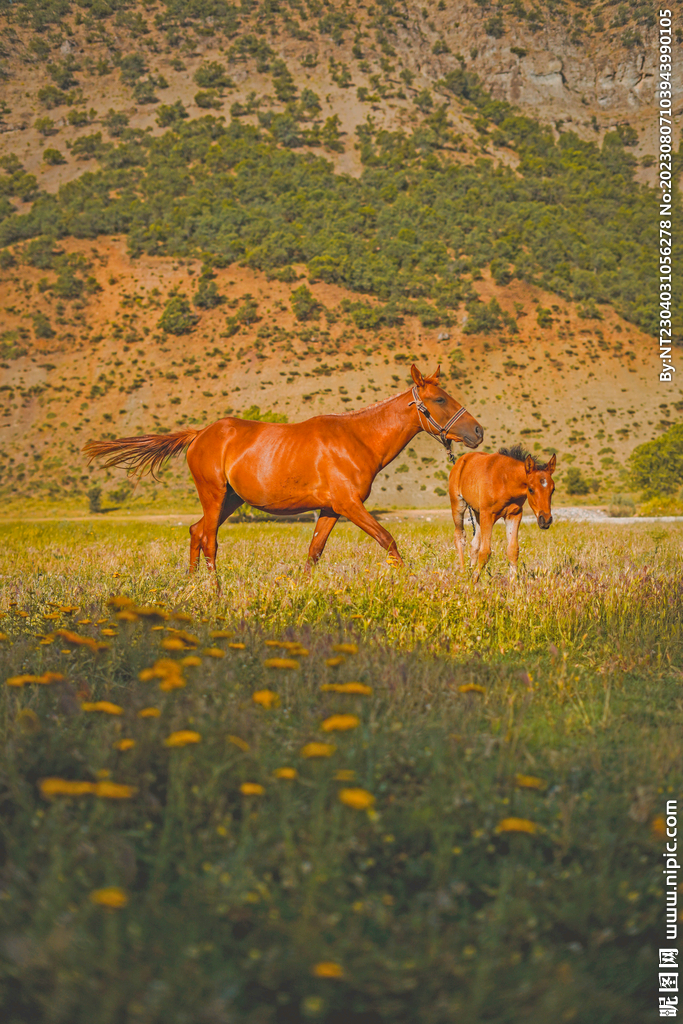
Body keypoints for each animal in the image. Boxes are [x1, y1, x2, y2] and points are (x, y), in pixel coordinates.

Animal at [84, 365, 484, 580]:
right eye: (439, 399)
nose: (478, 432)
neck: (357, 439)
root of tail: (200, 434)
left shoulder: (331, 509)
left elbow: (314, 553)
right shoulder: (349, 505)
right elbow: (388, 540)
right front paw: (409, 580)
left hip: (229, 500)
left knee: (197, 532)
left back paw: (194, 582)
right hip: (214, 495)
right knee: (209, 539)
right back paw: (213, 590)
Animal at [448, 444, 556, 578]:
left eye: (553, 489)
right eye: (531, 489)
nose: (545, 520)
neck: (505, 480)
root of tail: (460, 461)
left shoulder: (514, 515)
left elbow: (513, 550)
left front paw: (513, 582)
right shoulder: (488, 514)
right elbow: (485, 551)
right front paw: (474, 581)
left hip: (478, 513)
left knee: (474, 544)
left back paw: (470, 570)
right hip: (458, 505)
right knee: (460, 536)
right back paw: (463, 573)